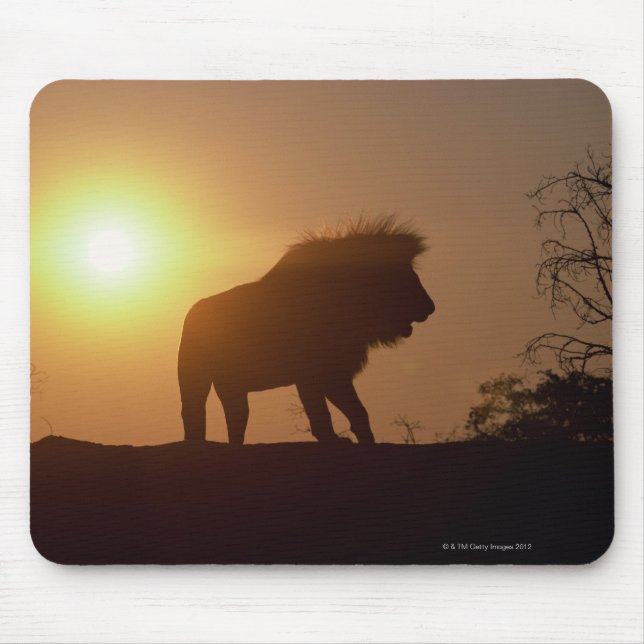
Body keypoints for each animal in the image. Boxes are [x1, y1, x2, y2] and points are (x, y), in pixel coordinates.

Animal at [178, 216, 435, 444]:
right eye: (406, 277)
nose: (431, 307)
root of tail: (193, 310)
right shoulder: (311, 372)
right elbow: (321, 413)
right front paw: (334, 440)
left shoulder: (334, 372)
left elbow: (357, 412)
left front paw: (366, 441)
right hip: (195, 377)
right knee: (194, 414)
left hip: (233, 385)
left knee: (236, 420)